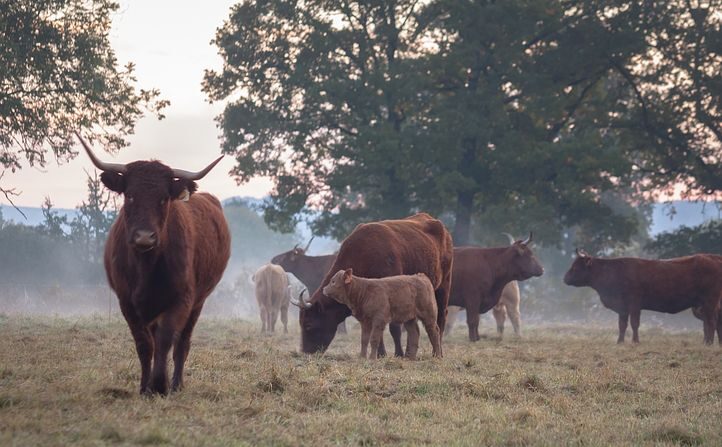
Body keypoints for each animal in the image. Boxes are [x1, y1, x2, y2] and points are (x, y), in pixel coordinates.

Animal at [76, 133, 229, 396]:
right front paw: (144, 386)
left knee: (182, 342)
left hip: (198, 302)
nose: (144, 237)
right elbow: (144, 344)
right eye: (130, 195)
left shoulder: (182, 299)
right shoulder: (127, 302)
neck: (146, 266)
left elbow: (167, 340)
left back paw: (176, 383)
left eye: (163, 199)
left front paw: (159, 385)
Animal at [292, 214, 450, 356]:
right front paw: (381, 354)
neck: (364, 256)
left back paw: (437, 352)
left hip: (442, 288)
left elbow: (394, 328)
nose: (306, 352)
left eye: (308, 325)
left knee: (440, 319)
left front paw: (397, 353)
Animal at [564, 250, 720, 344]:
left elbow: (634, 324)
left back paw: (709, 344)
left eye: (575, 268)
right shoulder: (623, 308)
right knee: (708, 323)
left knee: (711, 323)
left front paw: (635, 341)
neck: (612, 271)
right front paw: (620, 341)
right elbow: (622, 325)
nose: (565, 279)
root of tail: (713, 257)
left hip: (709, 303)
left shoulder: (634, 305)